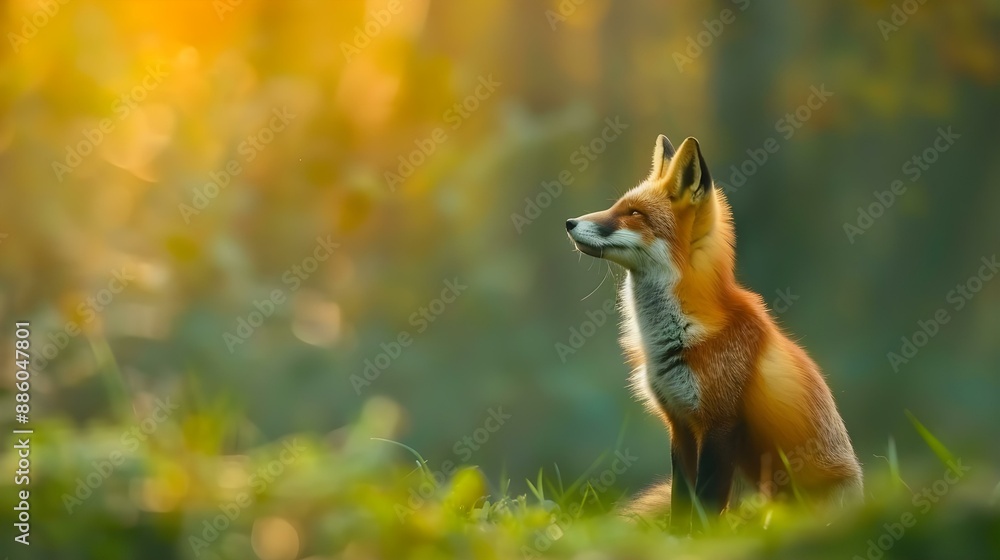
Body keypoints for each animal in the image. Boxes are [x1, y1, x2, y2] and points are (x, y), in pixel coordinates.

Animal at [565, 134, 862, 531]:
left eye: (634, 214)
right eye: (617, 207)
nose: (569, 222)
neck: (675, 335)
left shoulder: (721, 423)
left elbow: (705, 503)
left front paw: (699, 539)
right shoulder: (679, 423)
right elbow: (680, 500)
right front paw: (675, 537)